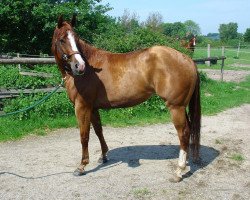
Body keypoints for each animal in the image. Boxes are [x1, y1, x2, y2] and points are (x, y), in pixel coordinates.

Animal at [51, 16, 201, 183]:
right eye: (62, 39)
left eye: (76, 39)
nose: (80, 66)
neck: (90, 67)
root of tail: (187, 59)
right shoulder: (93, 107)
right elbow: (98, 131)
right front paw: (104, 156)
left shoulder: (82, 106)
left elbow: (84, 136)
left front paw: (82, 166)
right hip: (181, 107)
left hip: (176, 107)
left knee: (183, 133)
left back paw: (179, 170)